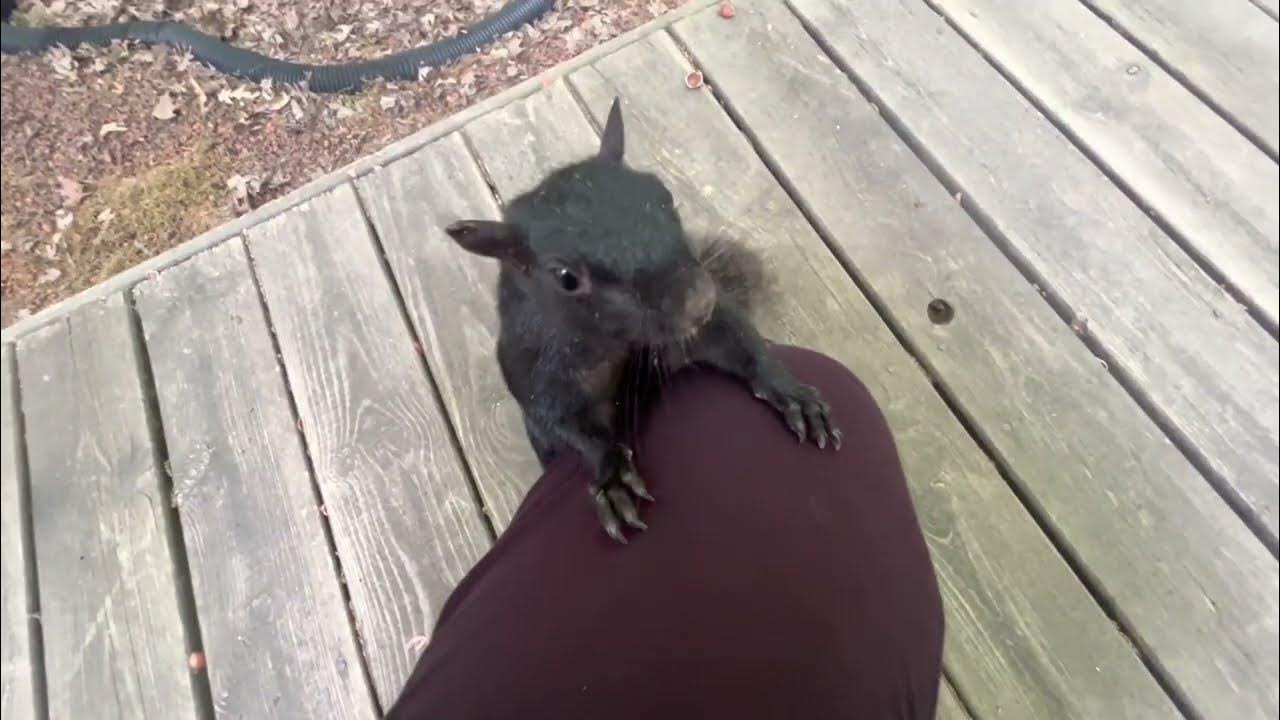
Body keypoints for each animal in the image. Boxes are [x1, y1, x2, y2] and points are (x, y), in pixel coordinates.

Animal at [445, 97, 840, 543]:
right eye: (565, 278)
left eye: (663, 194)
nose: (700, 301)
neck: (617, 342)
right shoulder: (538, 372)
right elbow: (566, 424)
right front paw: (612, 476)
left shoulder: (694, 332)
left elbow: (741, 342)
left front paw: (792, 392)